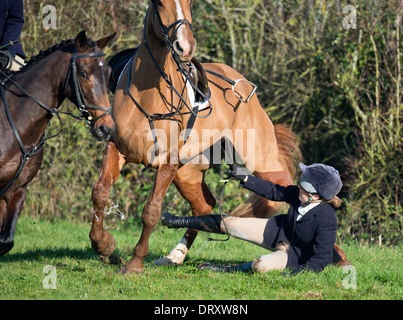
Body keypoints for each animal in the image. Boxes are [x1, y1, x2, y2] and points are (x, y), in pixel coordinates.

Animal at [90, 0, 348, 276]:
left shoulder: (168, 161)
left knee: (295, 191)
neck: (149, 93)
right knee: (205, 206)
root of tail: (244, 86)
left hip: (261, 162)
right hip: (187, 173)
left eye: (189, 3)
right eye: (160, 3)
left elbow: (151, 210)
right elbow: (100, 192)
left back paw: (339, 256)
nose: (185, 47)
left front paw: (135, 263)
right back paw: (175, 255)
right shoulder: (116, 148)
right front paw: (103, 245)